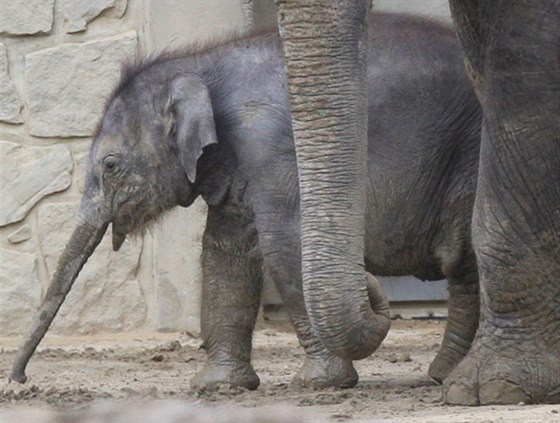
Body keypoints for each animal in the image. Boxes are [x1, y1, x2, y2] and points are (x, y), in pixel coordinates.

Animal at [9, 13, 482, 390]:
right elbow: (226, 251)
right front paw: (218, 387)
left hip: (471, 152)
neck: (200, 64)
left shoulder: (270, 146)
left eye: (110, 165)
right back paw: (444, 374)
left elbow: (284, 245)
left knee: (467, 255)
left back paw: (451, 375)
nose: (20, 381)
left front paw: (321, 383)